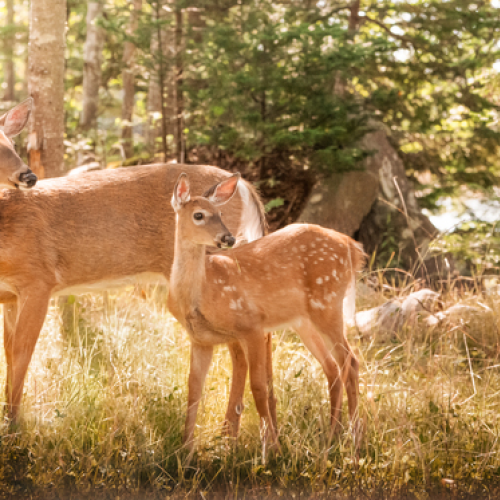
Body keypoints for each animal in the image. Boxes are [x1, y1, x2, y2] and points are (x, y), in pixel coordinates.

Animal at [1, 160, 266, 421]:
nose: (28, 176)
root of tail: (246, 188)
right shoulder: (10, 297)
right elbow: (9, 352)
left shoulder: (38, 281)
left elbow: (21, 352)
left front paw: (13, 423)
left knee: (241, 351)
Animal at [168, 172, 364, 451]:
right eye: (198, 215)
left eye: (220, 213)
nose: (228, 238)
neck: (202, 293)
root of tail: (353, 247)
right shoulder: (201, 339)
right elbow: (194, 390)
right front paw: (185, 451)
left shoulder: (252, 325)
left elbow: (259, 387)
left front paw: (273, 449)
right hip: (304, 320)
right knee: (333, 367)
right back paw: (332, 436)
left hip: (327, 304)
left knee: (351, 361)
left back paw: (354, 440)